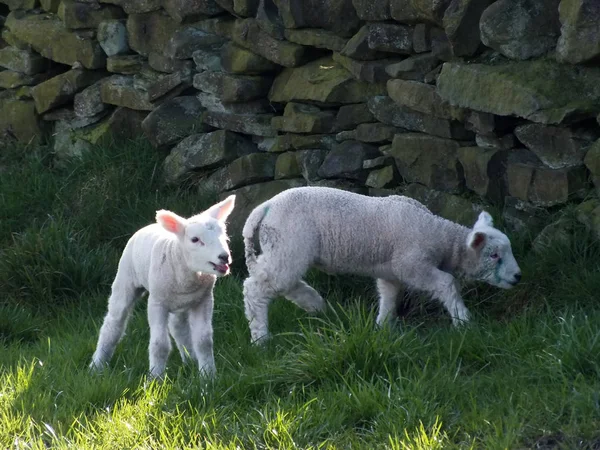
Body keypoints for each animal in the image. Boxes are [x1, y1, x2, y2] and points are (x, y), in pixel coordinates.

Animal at [90, 197, 236, 380]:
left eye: (224, 235)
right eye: (195, 239)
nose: (224, 257)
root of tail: (150, 225)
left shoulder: (203, 300)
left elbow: (203, 341)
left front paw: (208, 376)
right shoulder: (157, 303)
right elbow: (159, 345)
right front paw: (155, 379)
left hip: (179, 302)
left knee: (178, 327)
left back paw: (190, 359)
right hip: (125, 278)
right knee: (113, 324)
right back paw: (97, 365)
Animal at [241, 185, 524, 342]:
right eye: (494, 255)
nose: (518, 277)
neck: (439, 236)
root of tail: (265, 207)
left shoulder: (391, 271)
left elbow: (388, 297)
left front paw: (381, 329)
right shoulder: (412, 265)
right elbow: (447, 283)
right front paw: (464, 321)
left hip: (282, 248)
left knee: (283, 283)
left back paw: (316, 305)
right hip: (290, 243)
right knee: (256, 288)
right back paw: (261, 338)